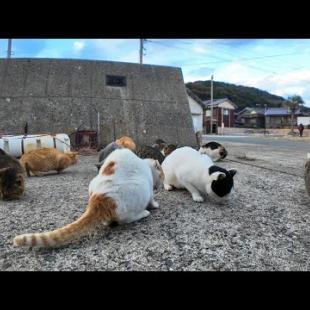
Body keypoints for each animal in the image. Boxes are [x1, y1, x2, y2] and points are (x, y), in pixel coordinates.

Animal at [13, 149, 165, 248]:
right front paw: (155, 205)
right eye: (162, 175)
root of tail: (99, 199)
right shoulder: (150, 189)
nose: (162, 183)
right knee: (126, 219)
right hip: (140, 188)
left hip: (92, 183)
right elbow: (152, 200)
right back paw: (144, 213)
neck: (145, 164)